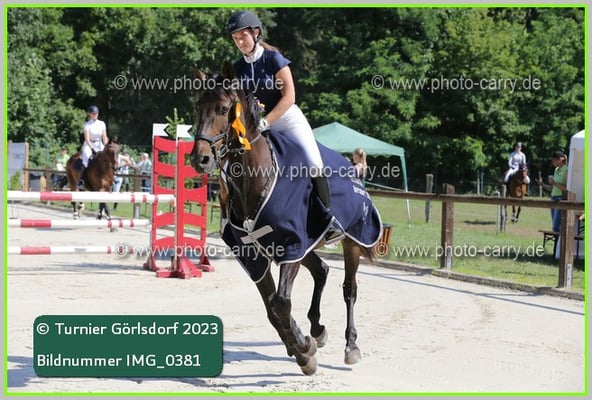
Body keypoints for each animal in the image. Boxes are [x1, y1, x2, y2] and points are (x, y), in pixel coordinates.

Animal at [189, 65, 382, 375]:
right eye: (197, 106)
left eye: (223, 108)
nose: (200, 158)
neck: (253, 179)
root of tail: (353, 168)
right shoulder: (258, 254)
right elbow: (272, 308)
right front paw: (302, 348)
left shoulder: (291, 245)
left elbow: (280, 303)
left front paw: (304, 351)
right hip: (308, 245)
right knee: (321, 271)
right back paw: (317, 330)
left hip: (351, 240)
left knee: (349, 289)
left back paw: (351, 346)